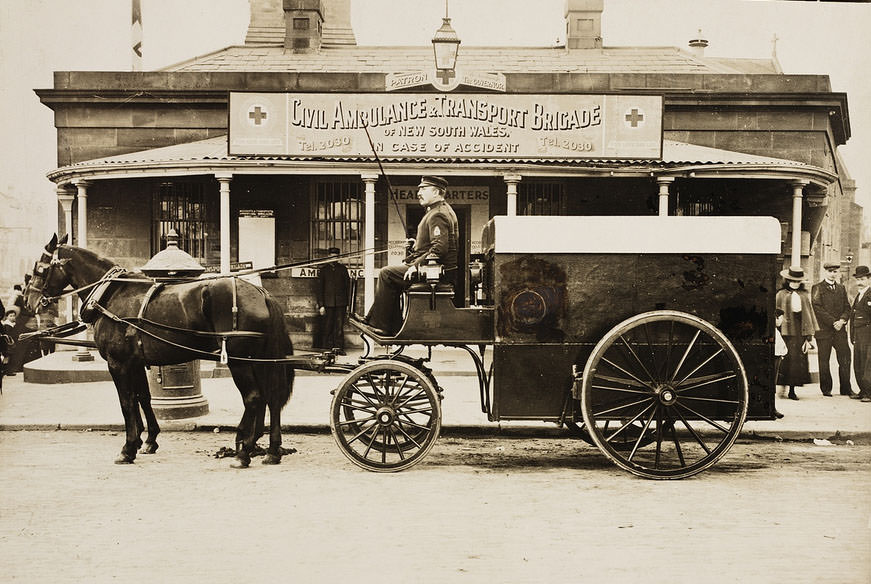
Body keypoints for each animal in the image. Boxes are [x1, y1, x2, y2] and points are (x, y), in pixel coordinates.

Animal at [23, 235, 296, 468]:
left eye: (39, 268)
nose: (28, 301)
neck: (111, 293)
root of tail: (261, 293)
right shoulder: (134, 362)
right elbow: (142, 397)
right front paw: (147, 440)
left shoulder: (118, 363)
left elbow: (126, 402)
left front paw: (127, 448)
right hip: (258, 359)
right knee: (271, 398)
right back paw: (271, 450)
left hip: (239, 360)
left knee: (254, 397)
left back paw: (243, 450)